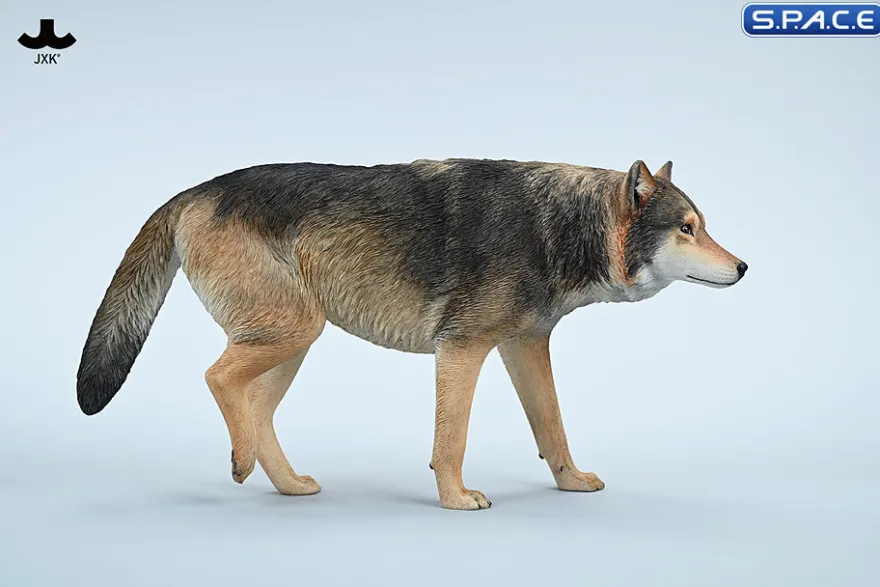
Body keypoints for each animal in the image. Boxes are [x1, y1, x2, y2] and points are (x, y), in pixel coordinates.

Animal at [77, 158, 747, 510]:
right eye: (686, 228)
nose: (743, 268)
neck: (559, 225)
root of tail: (193, 189)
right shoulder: (463, 350)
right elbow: (450, 441)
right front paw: (455, 500)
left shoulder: (525, 348)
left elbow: (552, 428)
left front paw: (570, 483)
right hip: (289, 332)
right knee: (217, 379)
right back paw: (242, 463)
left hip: (292, 342)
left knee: (255, 410)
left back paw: (289, 486)